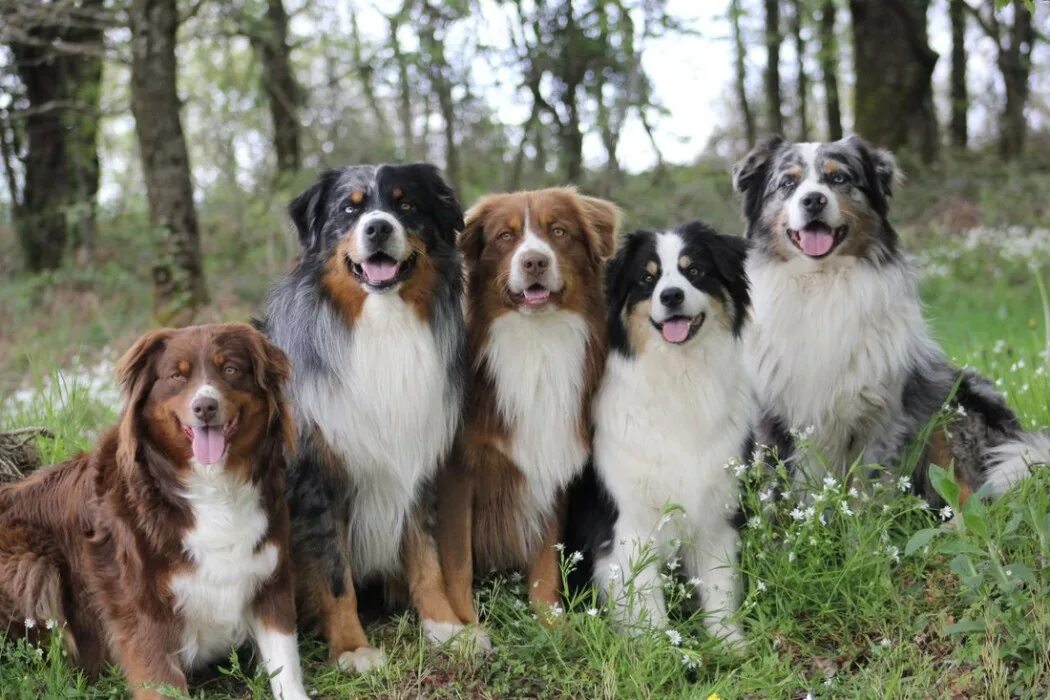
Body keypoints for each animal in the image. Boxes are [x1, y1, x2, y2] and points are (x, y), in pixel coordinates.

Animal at [0, 325, 306, 700]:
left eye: (231, 369)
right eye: (177, 375)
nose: (205, 406)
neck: (212, 487)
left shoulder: (270, 575)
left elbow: (286, 663)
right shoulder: (141, 608)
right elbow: (162, 679)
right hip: (32, 564)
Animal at [260, 164, 480, 671]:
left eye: (407, 204)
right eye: (349, 208)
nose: (378, 227)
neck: (383, 324)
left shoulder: (417, 463)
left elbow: (427, 557)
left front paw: (446, 627)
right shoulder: (317, 479)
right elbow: (335, 573)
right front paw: (353, 648)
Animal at [432, 187, 617, 625]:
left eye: (559, 231)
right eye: (505, 236)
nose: (535, 261)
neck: (537, 343)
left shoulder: (552, 462)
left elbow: (546, 564)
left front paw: (552, 623)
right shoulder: (456, 473)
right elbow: (457, 562)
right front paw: (467, 627)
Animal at [567, 223, 755, 646]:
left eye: (695, 271)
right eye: (647, 279)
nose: (671, 296)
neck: (679, 377)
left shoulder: (715, 512)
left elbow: (719, 585)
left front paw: (729, 643)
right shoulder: (628, 521)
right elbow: (644, 595)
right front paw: (656, 647)